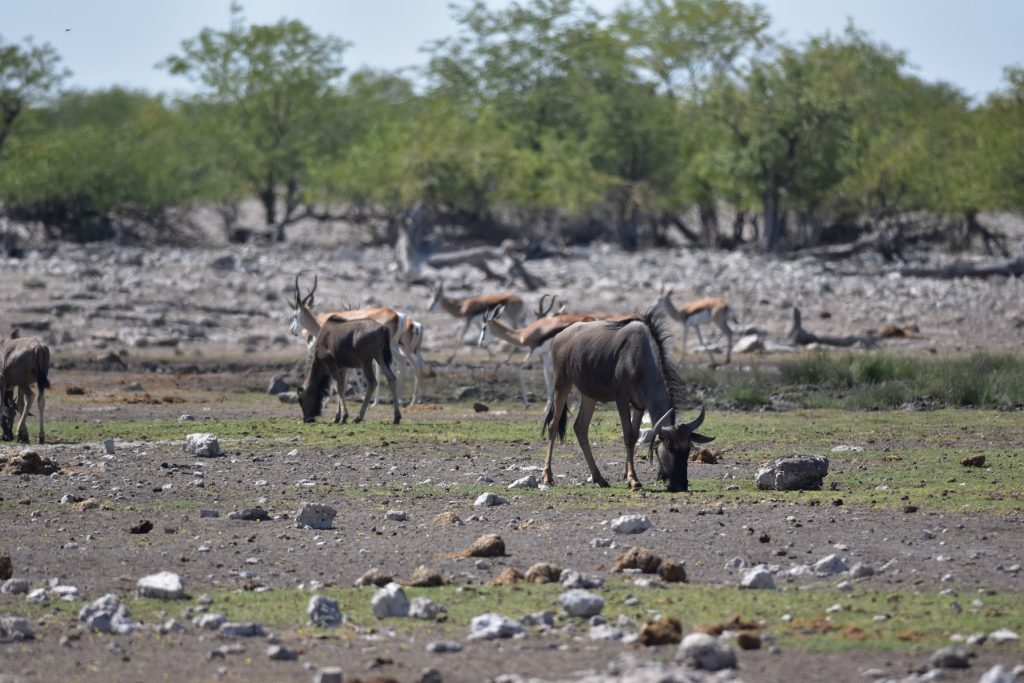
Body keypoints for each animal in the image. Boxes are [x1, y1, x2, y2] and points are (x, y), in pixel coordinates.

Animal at [544, 309, 712, 491]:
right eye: (670, 447)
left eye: (688, 449)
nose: (680, 485)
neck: (641, 355)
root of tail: (559, 337)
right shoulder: (622, 399)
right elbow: (627, 434)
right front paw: (633, 480)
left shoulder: (639, 405)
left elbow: (633, 437)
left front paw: (628, 475)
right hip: (561, 384)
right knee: (553, 426)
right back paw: (547, 477)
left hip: (589, 395)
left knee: (580, 428)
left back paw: (599, 478)